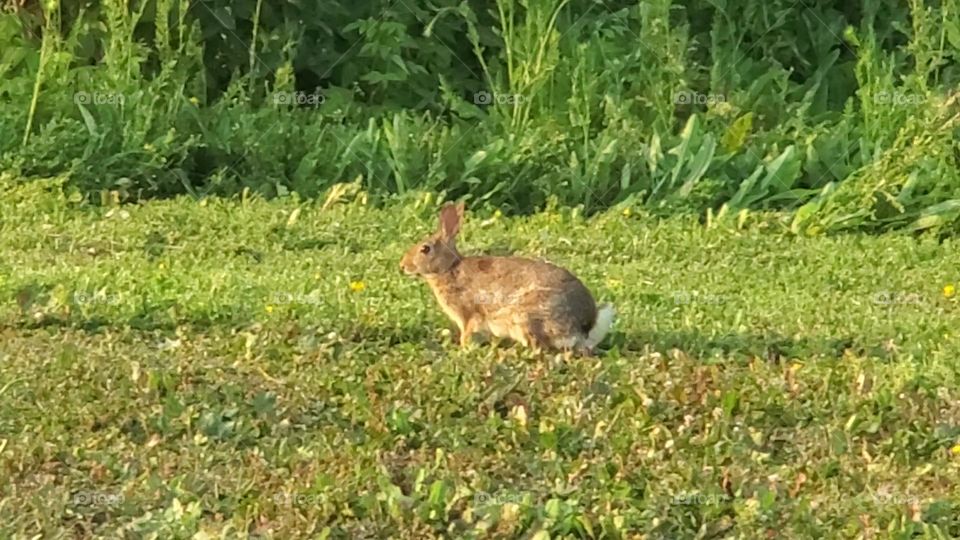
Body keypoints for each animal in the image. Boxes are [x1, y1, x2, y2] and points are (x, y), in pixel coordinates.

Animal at [400, 202, 615, 355]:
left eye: (425, 249)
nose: (402, 266)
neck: (449, 268)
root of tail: (583, 327)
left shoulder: (467, 313)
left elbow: (467, 332)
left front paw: (462, 348)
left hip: (526, 316)